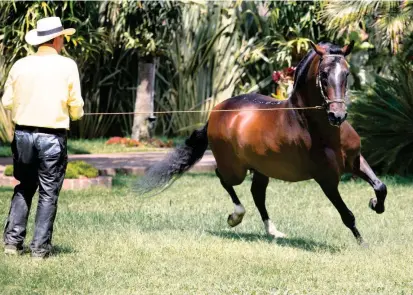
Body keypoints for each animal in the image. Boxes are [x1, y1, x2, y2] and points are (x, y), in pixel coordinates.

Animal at [138, 40, 386, 246]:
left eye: (346, 73)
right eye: (324, 75)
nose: (337, 115)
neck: (322, 130)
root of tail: (217, 111)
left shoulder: (355, 162)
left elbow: (380, 186)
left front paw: (376, 205)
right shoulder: (326, 179)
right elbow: (347, 214)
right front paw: (362, 242)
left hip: (261, 169)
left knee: (257, 194)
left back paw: (272, 231)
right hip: (235, 169)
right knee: (223, 178)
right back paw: (235, 217)